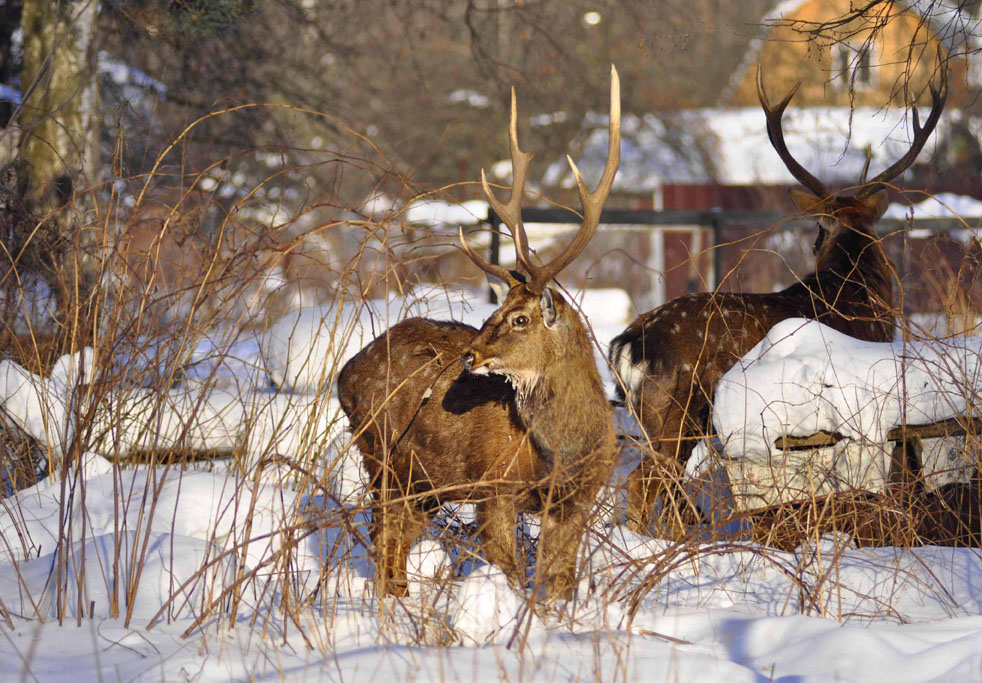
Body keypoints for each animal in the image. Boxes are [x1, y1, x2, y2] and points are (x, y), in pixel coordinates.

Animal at [334, 65, 620, 600]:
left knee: (394, 543)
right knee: (383, 539)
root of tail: (343, 377)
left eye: (519, 318)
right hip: (383, 457)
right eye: (499, 308)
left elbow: (558, 583)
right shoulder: (493, 487)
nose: (468, 355)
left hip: (421, 482)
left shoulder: (578, 500)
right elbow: (511, 573)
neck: (563, 453)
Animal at [612, 64, 948, 536]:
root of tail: (628, 344)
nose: (814, 243)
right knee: (644, 482)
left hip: (651, 416)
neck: (854, 291)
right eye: (819, 229)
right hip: (677, 410)